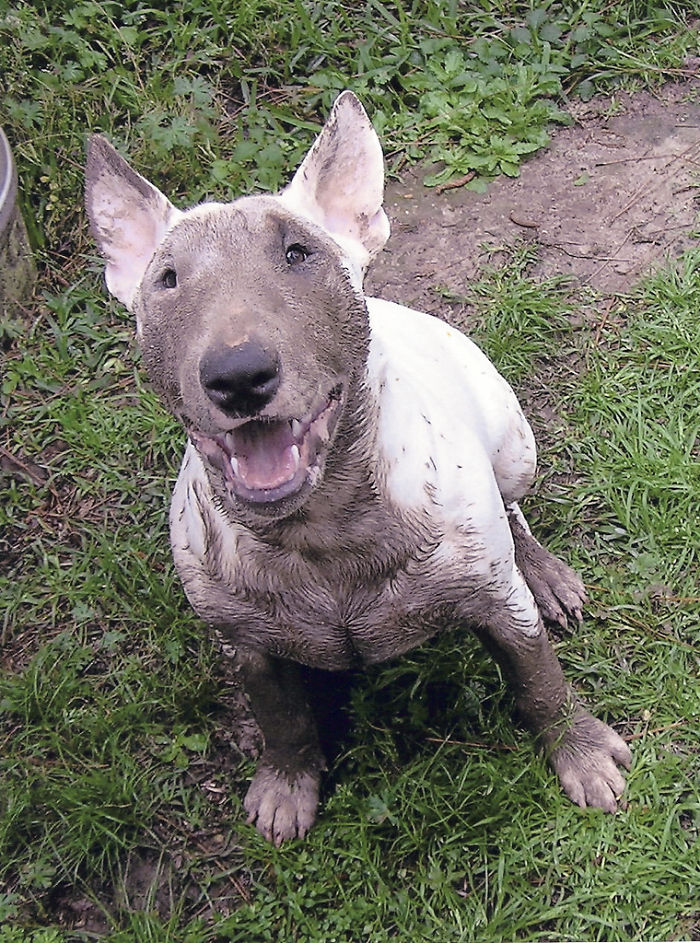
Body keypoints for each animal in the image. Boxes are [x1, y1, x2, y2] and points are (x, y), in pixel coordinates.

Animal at [85, 92, 632, 844]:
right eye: (166, 280)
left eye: (299, 253)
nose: (238, 376)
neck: (322, 529)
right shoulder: (246, 644)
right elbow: (282, 718)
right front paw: (286, 786)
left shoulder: (499, 602)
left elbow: (539, 679)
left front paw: (582, 752)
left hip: (514, 448)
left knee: (516, 509)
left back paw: (547, 574)